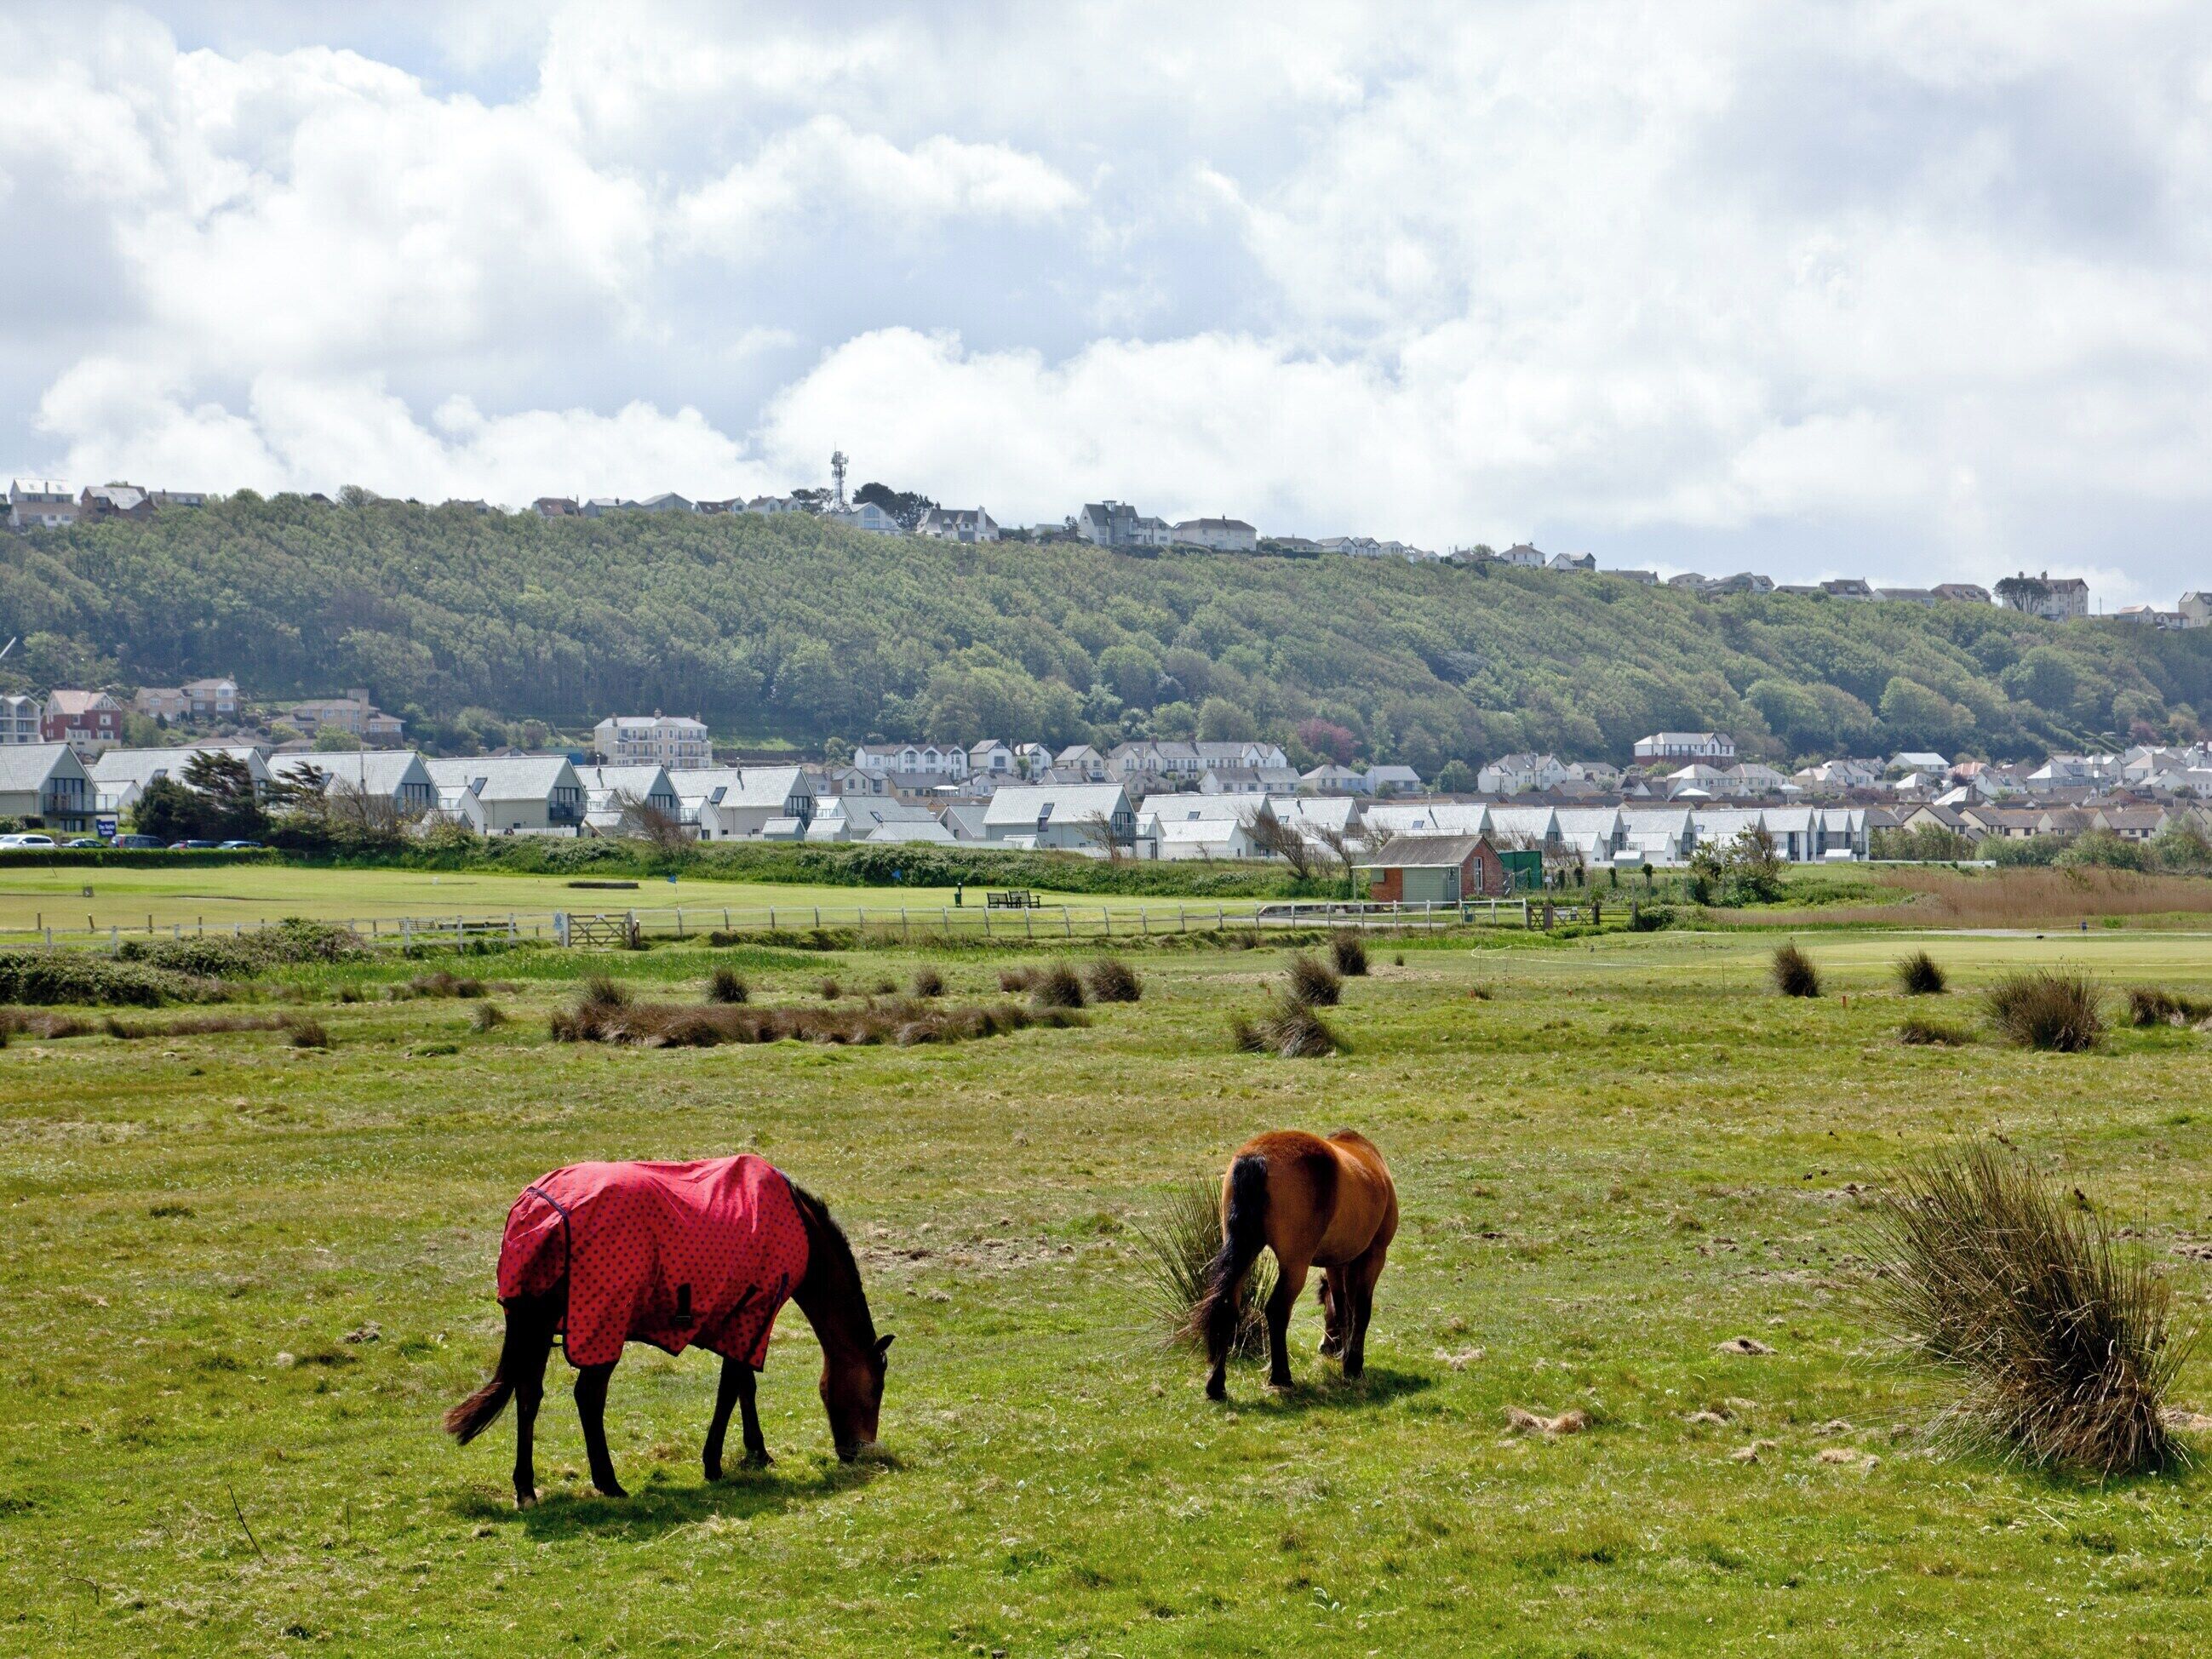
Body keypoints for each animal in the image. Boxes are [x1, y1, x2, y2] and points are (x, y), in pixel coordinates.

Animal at [444, 1154, 891, 1507]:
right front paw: (716, 1462)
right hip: (601, 1326)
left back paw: (526, 1488)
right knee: (588, 1397)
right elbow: (732, 1388)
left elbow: (743, 1386)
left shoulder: (737, 1321)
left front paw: (756, 1453)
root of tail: (540, 1208)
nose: (859, 1452)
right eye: (876, 1389)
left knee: (528, 1397)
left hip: (535, 1327)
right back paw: (609, 1483)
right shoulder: (752, 1316)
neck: (800, 1227)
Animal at [1196, 1129, 1397, 1401]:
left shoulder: (1335, 1262)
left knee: (1227, 1308)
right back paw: (1282, 1377)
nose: (1326, 1346)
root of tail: (1257, 1157)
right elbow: (1360, 1310)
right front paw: (1353, 1365)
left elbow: (1342, 1307)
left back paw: (1216, 1385)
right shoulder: (1374, 1255)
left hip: (1244, 1252)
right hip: (1294, 1265)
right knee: (1277, 1310)